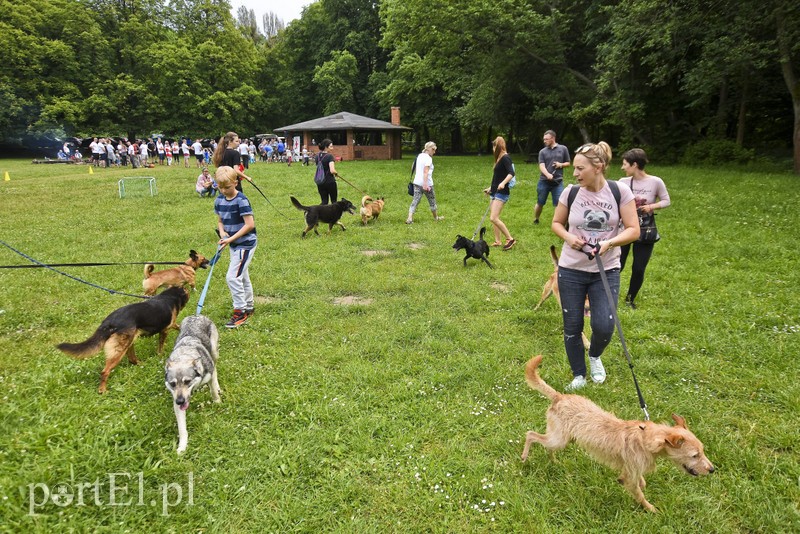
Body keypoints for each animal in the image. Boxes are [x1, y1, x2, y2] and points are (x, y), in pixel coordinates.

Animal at [56, 288, 189, 394]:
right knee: (105, 371)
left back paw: (140, 364)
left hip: (129, 340)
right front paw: (160, 354)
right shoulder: (166, 329)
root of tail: (108, 322)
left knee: (131, 358)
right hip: (119, 349)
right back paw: (102, 390)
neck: (168, 296)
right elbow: (162, 343)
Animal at [164, 316, 219, 454]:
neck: (184, 356)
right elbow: (182, 429)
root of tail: (195, 315)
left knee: (215, 368)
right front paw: (182, 447)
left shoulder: (209, 376)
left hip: (214, 352)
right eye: (173, 384)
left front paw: (217, 402)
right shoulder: (176, 403)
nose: (180, 401)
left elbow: (213, 391)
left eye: (187, 381)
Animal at [520, 356, 716, 516]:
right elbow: (639, 494)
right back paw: (524, 456)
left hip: (560, 439)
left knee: (546, 446)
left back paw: (554, 461)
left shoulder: (631, 470)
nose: (713, 469)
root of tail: (559, 397)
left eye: (702, 451)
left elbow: (640, 483)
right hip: (558, 439)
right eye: (695, 455)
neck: (645, 439)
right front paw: (651, 509)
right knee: (531, 435)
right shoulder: (631, 477)